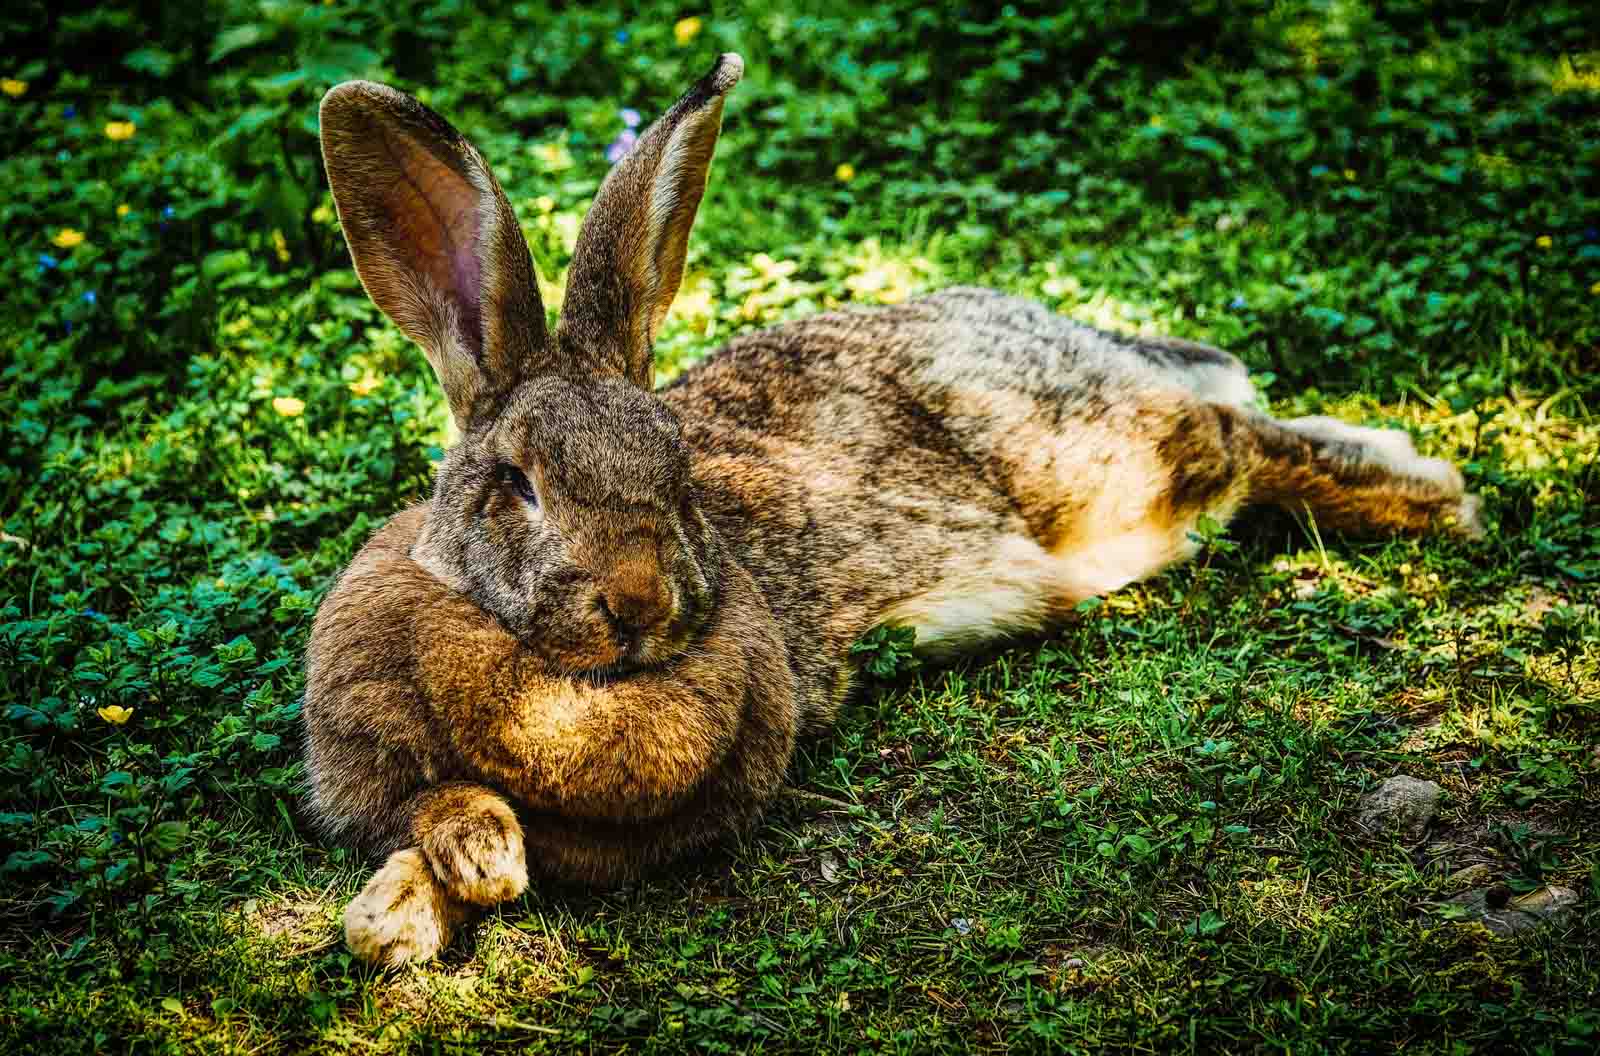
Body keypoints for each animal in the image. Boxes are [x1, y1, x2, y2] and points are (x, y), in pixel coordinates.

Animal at [305, 53, 1478, 966]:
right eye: (517, 484)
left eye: (678, 472)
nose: (639, 604)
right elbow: (427, 825)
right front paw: (410, 905)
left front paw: (433, 892)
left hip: (1101, 464)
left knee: (1234, 438)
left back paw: (1429, 496)